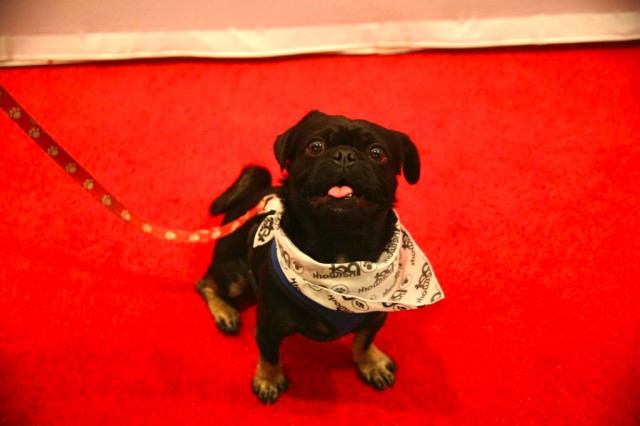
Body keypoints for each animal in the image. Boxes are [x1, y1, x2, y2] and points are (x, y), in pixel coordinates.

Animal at [198, 110, 422, 402]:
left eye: (377, 153)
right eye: (315, 147)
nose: (345, 154)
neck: (340, 246)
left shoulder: (374, 317)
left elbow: (363, 342)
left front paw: (371, 363)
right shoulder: (268, 325)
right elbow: (269, 355)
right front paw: (268, 380)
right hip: (234, 277)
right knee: (205, 283)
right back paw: (225, 312)